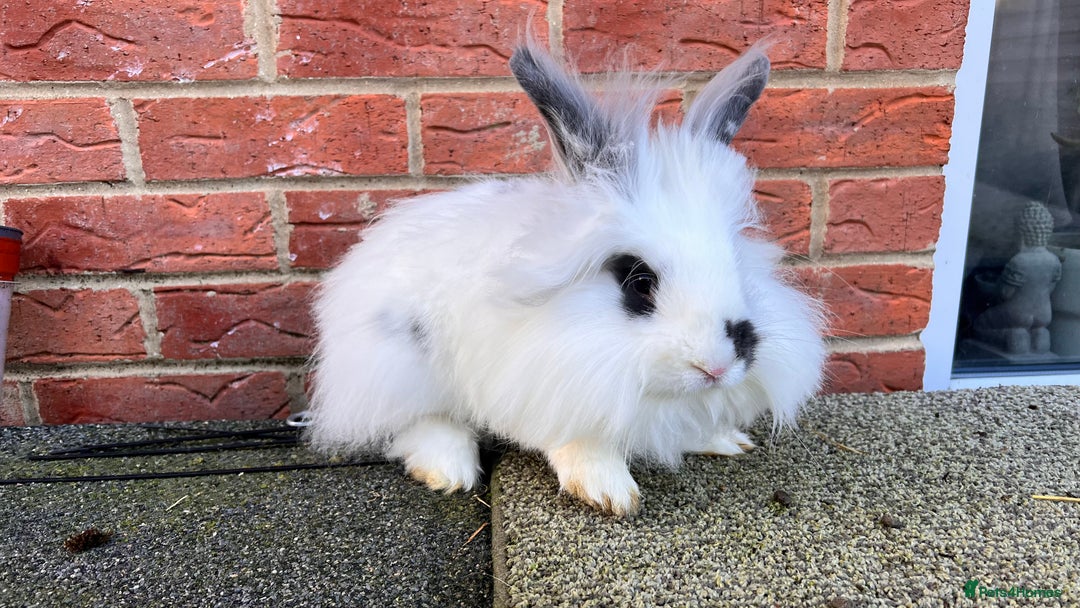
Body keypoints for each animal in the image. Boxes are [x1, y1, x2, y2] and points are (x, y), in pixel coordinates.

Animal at [306, 40, 826, 517]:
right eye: (639, 282)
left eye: (736, 264)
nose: (716, 367)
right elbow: (580, 441)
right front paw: (608, 491)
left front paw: (723, 439)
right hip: (399, 363)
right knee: (411, 421)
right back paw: (447, 468)